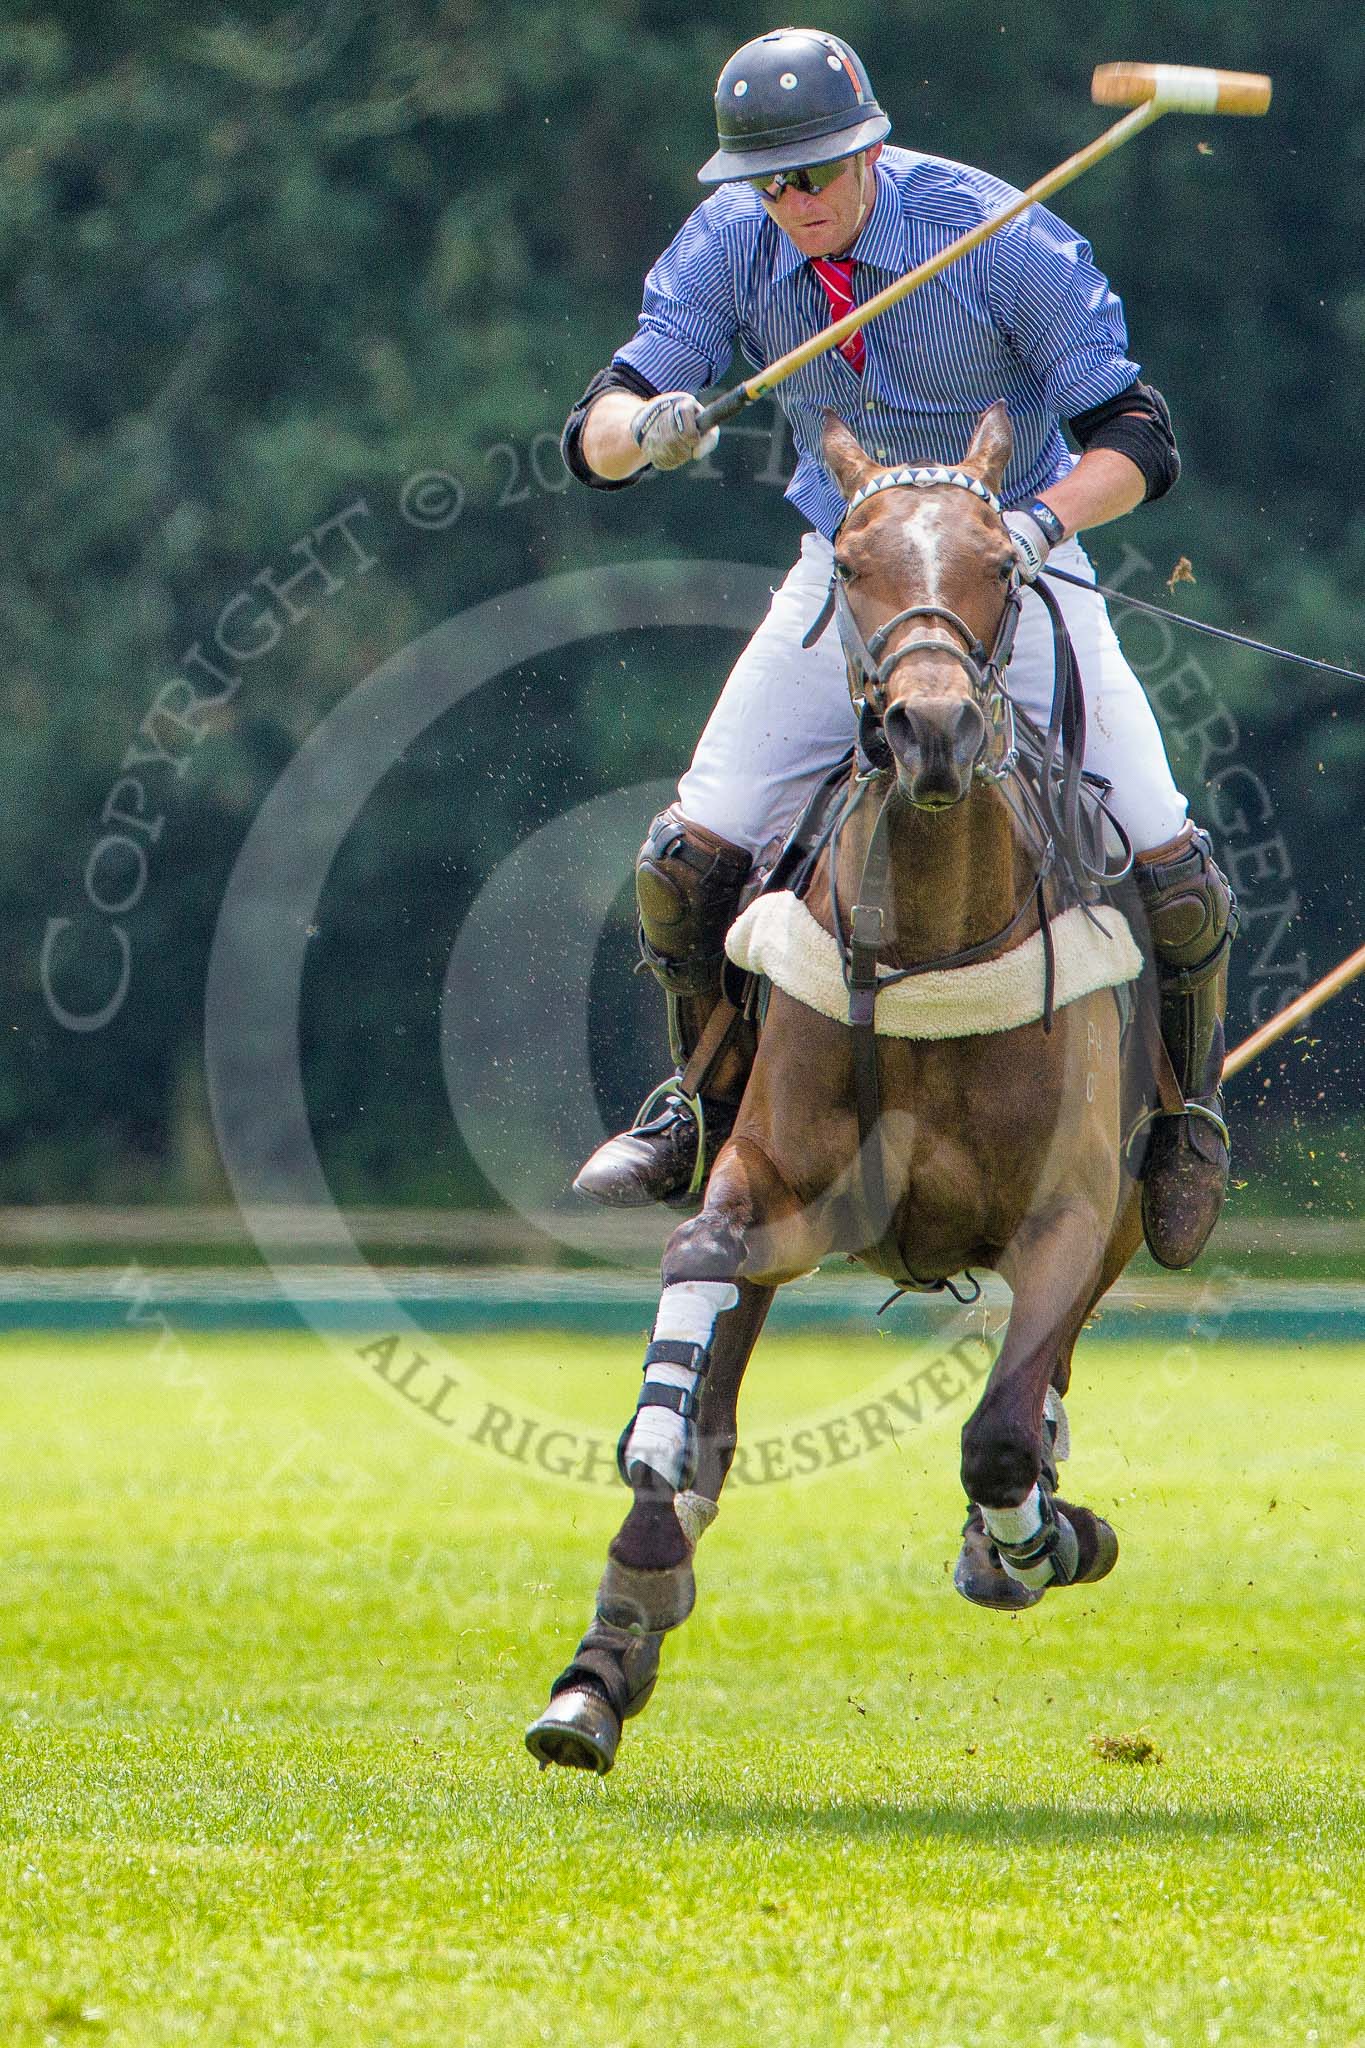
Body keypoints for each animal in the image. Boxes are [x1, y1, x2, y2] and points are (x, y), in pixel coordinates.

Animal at [527, 403, 1162, 1777]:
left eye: (1001, 562)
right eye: (858, 564)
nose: (931, 731)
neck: (926, 931)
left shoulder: (1071, 1210)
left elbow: (999, 1427)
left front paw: (1045, 1537)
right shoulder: (765, 1179)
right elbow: (683, 1370)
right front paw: (614, 1629)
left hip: (1138, 1204)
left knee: (1043, 1374)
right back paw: (605, 1664)